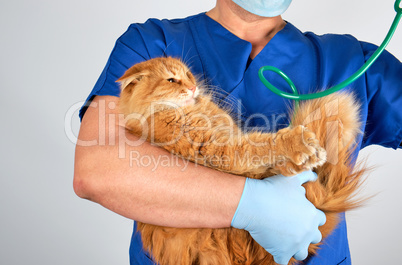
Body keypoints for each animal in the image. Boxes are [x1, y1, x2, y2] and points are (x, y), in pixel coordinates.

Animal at [116, 57, 364, 264]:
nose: (193, 87)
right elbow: (264, 145)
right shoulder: (221, 150)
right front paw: (298, 143)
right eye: (171, 80)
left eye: (188, 75)